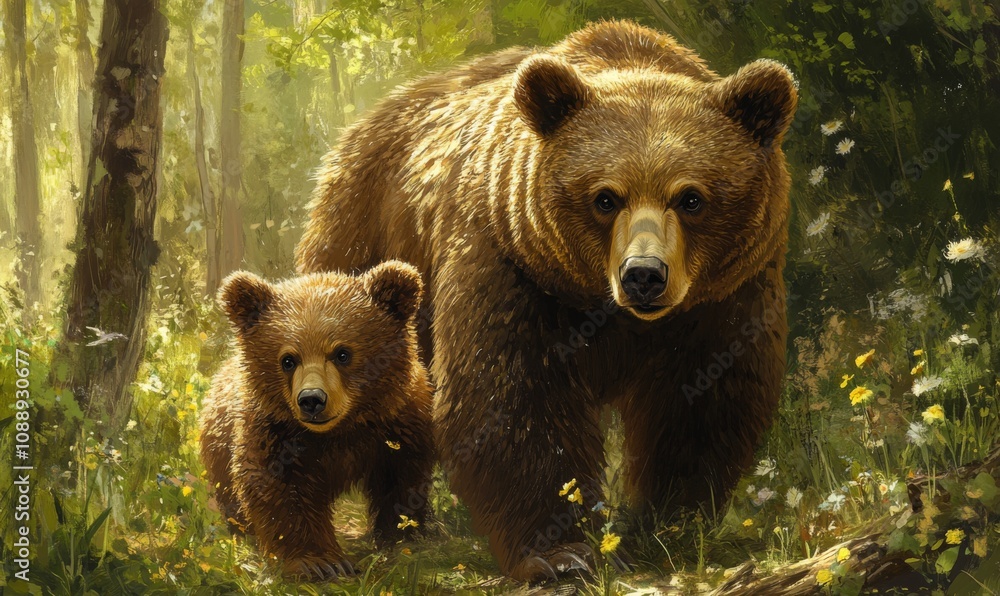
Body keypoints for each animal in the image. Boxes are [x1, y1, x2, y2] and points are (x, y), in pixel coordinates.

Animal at [199, 261, 435, 580]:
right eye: (288, 359)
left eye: (342, 353)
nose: (312, 399)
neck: (342, 429)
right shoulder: (273, 431)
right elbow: (278, 487)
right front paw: (319, 562)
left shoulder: (398, 422)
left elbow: (402, 477)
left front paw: (402, 537)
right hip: (219, 448)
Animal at [295, 20, 795, 582]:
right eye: (605, 197)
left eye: (691, 198)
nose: (644, 276)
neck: (601, 301)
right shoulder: (511, 263)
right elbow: (510, 399)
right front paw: (565, 551)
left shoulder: (724, 294)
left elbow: (700, 400)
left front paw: (670, 525)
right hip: (367, 240)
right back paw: (405, 531)